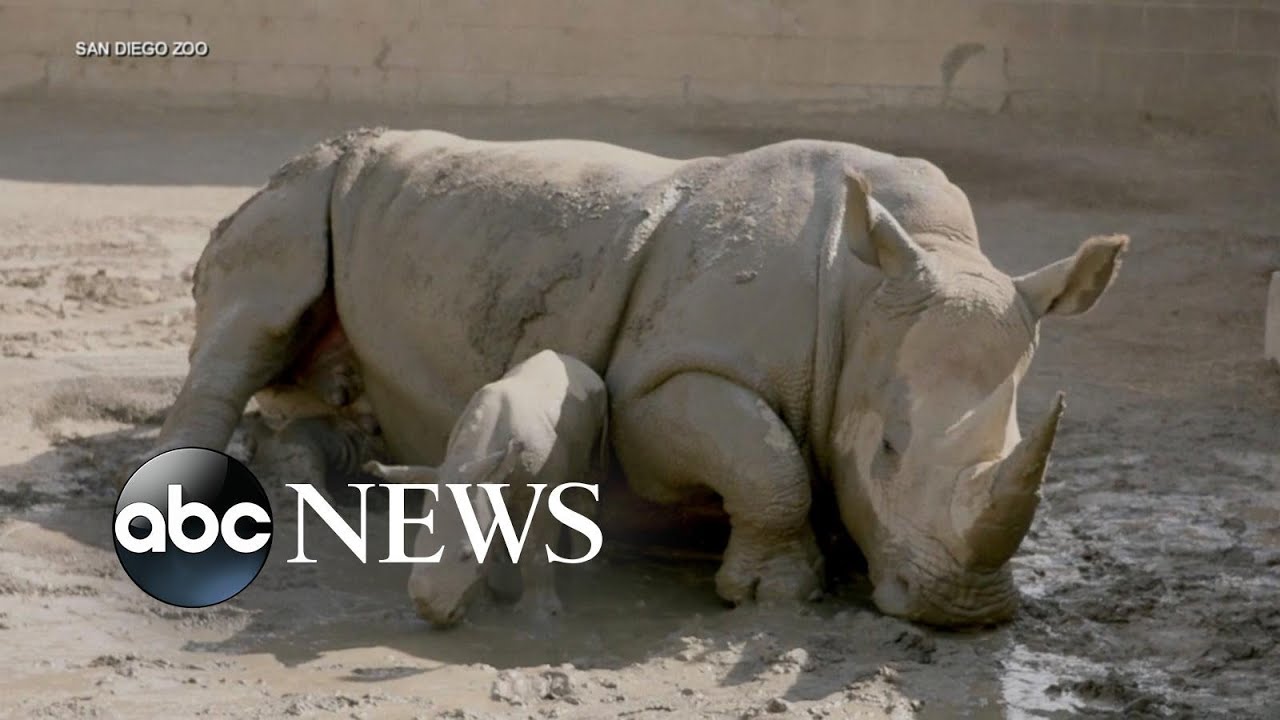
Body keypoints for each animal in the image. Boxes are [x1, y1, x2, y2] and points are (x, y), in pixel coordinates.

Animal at [362, 349, 607, 627]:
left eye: (467, 554)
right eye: (415, 549)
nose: (429, 613)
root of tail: (577, 363)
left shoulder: (541, 488)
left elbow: (536, 549)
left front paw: (539, 616)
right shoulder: (484, 480)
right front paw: (485, 605)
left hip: (594, 406)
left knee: (585, 483)